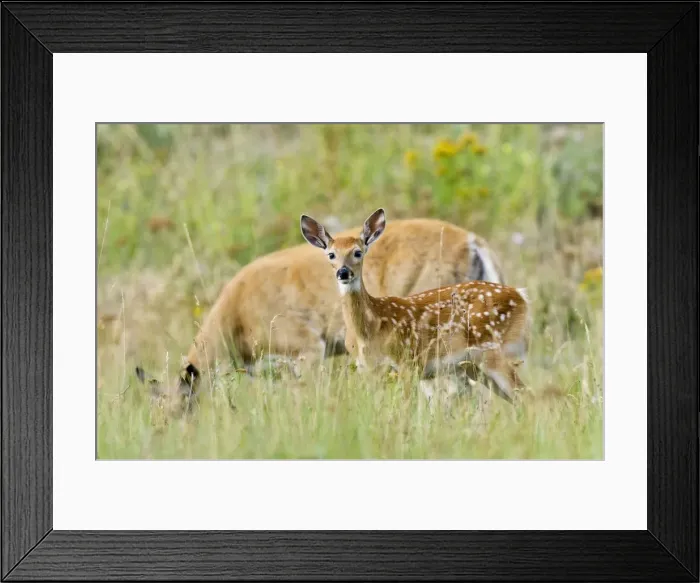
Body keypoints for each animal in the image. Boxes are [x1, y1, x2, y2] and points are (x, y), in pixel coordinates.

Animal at [300, 209, 529, 403]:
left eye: (358, 252)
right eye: (331, 254)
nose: (343, 272)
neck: (369, 327)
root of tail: (521, 296)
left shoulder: (407, 363)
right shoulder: (368, 368)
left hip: (496, 351)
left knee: (528, 397)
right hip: (474, 365)